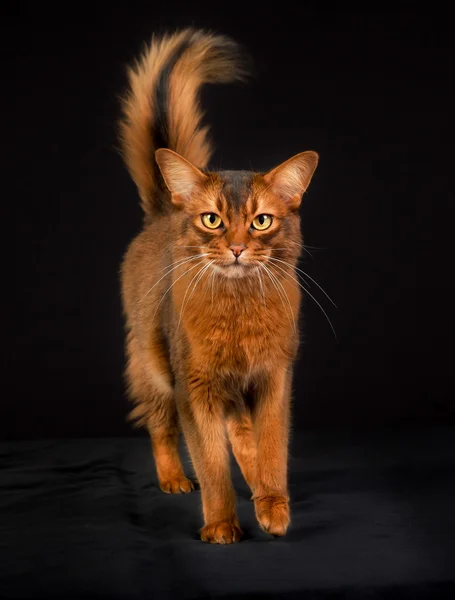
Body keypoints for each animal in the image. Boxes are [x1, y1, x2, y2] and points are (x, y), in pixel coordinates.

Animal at [119, 28, 318, 544]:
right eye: (213, 220)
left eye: (261, 221)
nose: (236, 248)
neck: (238, 307)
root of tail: (164, 211)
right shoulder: (195, 386)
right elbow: (209, 463)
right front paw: (221, 526)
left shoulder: (273, 377)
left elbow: (271, 448)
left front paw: (273, 505)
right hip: (152, 364)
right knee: (161, 425)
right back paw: (172, 478)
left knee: (241, 432)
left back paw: (258, 488)